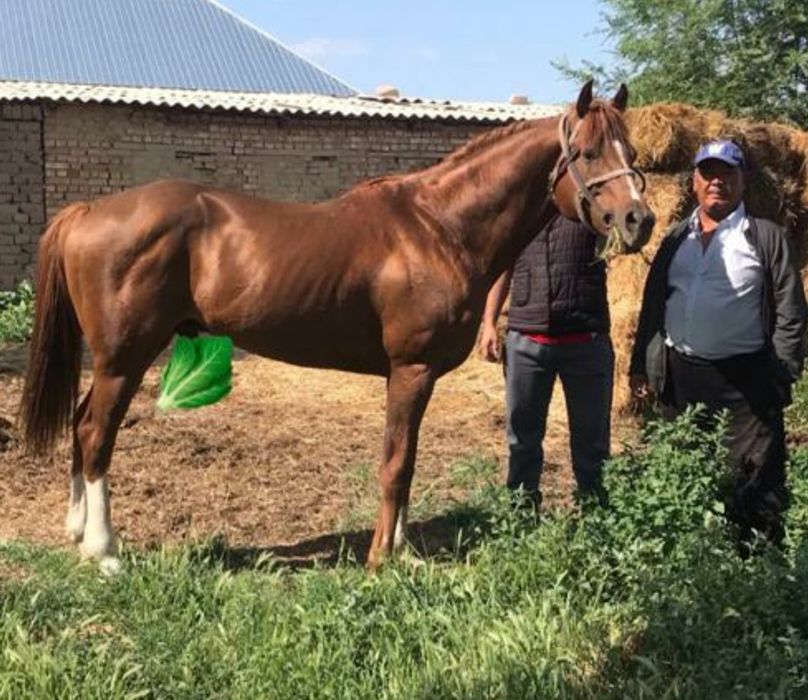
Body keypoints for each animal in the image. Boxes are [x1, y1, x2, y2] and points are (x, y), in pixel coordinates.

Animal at [20, 81, 654, 572]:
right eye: (589, 153)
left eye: (633, 150)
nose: (638, 220)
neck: (440, 227)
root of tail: (89, 212)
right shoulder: (411, 369)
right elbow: (396, 464)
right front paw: (380, 559)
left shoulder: (414, 376)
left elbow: (407, 460)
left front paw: (402, 551)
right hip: (124, 359)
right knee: (95, 434)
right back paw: (105, 552)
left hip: (112, 362)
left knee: (79, 426)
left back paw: (78, 534)